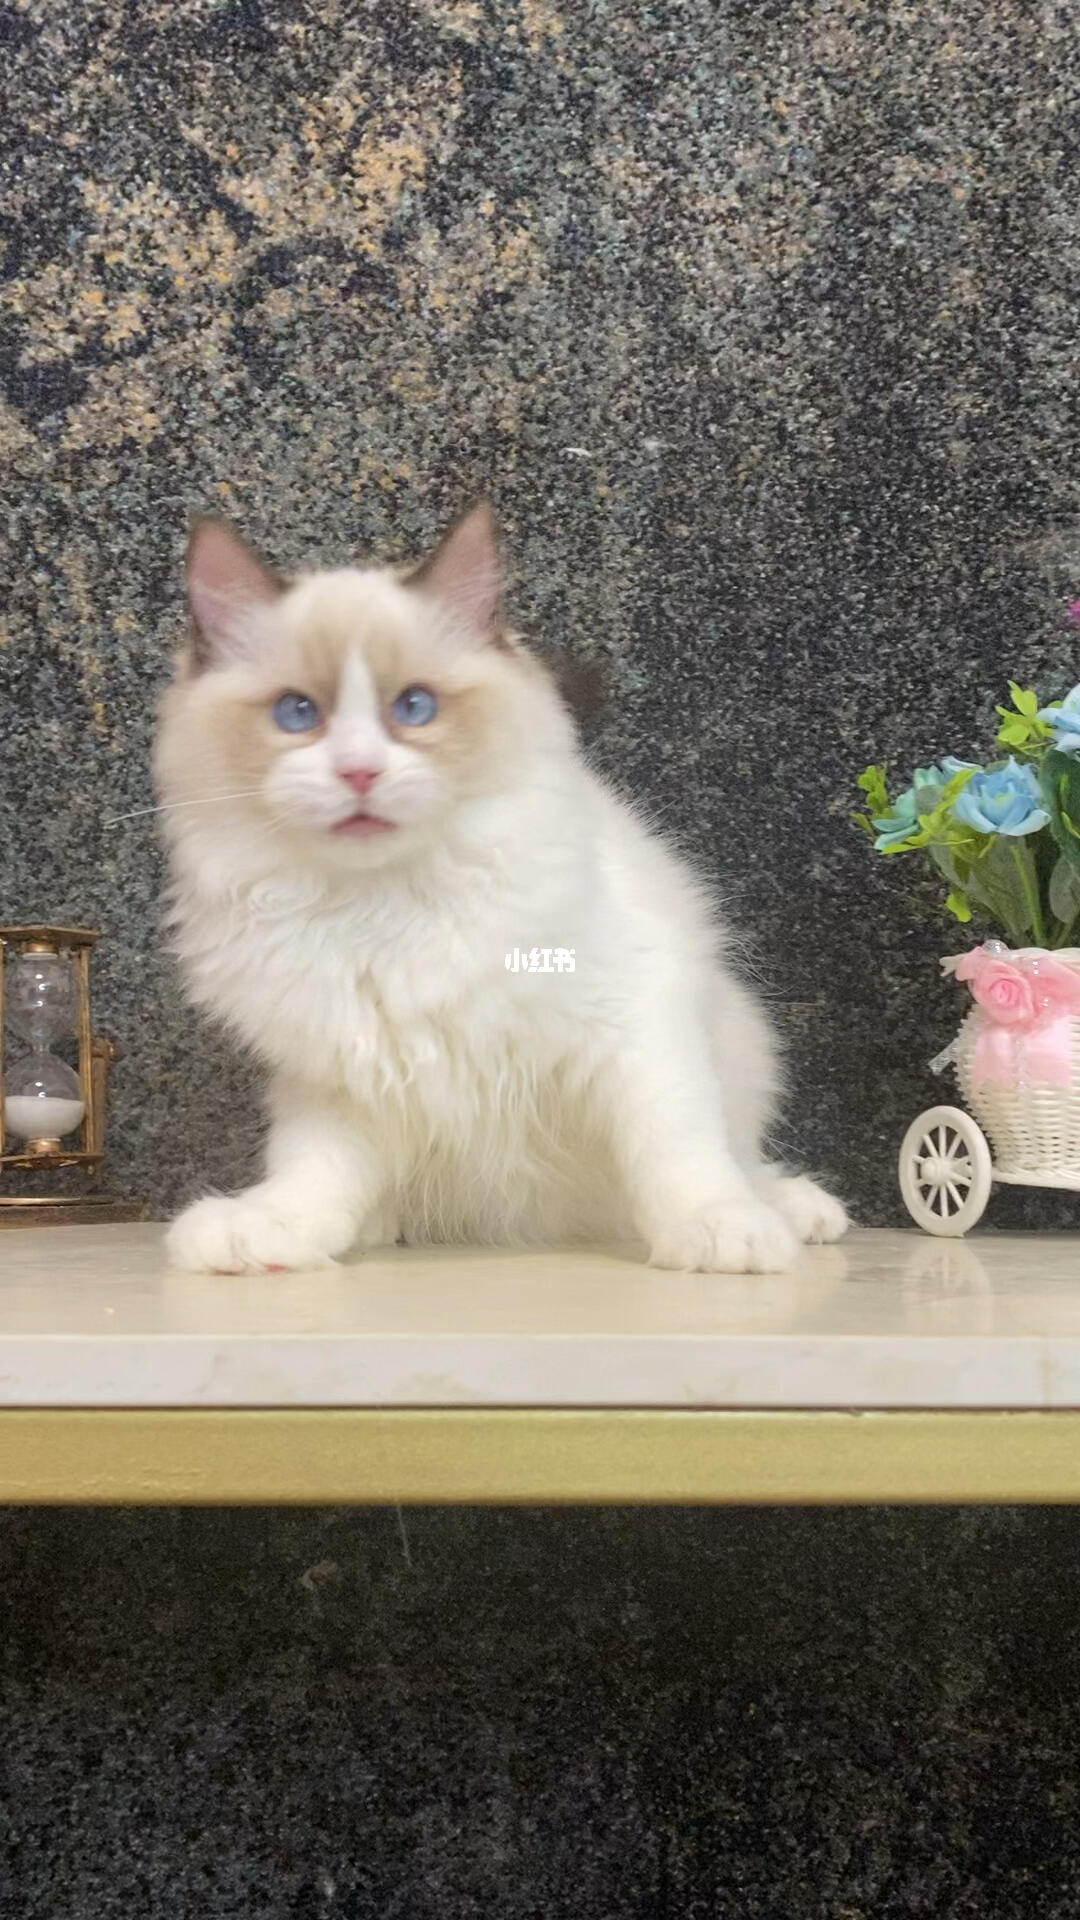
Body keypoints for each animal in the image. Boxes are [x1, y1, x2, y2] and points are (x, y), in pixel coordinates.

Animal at [156, 503, 847, 1274]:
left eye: (415, 707)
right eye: (297, 714)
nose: (360, 772)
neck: (383, 907)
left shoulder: (635, 1020)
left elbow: (678, 1146)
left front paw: (721, 1230)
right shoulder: (341, 1076)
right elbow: (311, 1174)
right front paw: (267, 1232)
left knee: (746, 1160)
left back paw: (795, 1211)